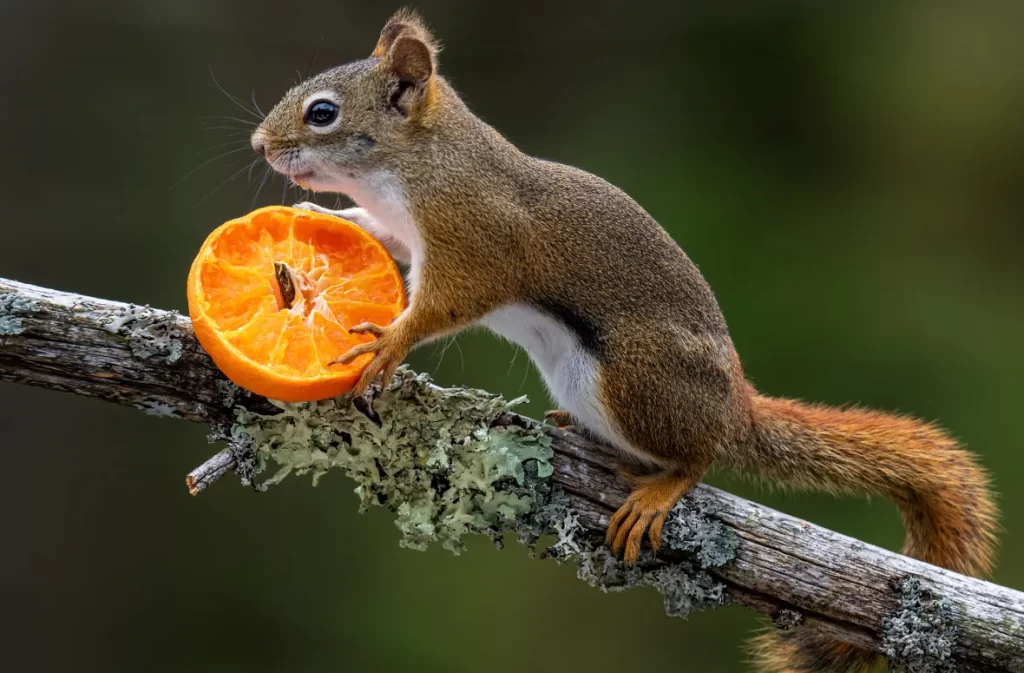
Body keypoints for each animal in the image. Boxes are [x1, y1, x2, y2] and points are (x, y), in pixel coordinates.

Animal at [249, 10, 999, 671]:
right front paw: (325, 218)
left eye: (322, 113)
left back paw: (661, 488)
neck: (420, 164)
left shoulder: (476, 242)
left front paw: (388, 343)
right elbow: (380, 236)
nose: (259, 144)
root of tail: (736, 406)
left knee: (699, 455)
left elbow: (445, 304)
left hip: (634, 380)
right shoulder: (410, 233)